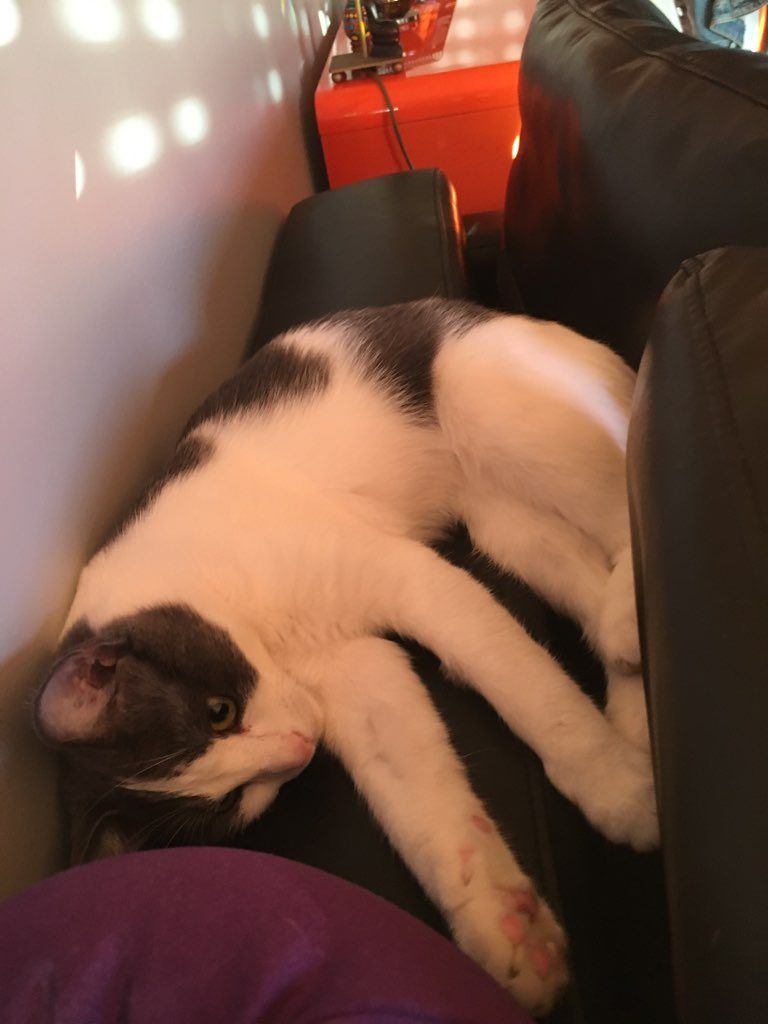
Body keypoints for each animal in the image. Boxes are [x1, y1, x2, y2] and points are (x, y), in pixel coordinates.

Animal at [34, 298, 656, 1015]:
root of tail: (496, 315)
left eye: (219, 711)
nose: (303, 748)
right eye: (234, 800)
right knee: (589, 563)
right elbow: (417, 802)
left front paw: (617, 788)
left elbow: (530, 691)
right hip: (509, 525)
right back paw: (632, 691)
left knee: (624, 499)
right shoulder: (359, 675)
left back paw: (625, 629)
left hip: (493, 409)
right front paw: (504, 927)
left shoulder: (410, 581)